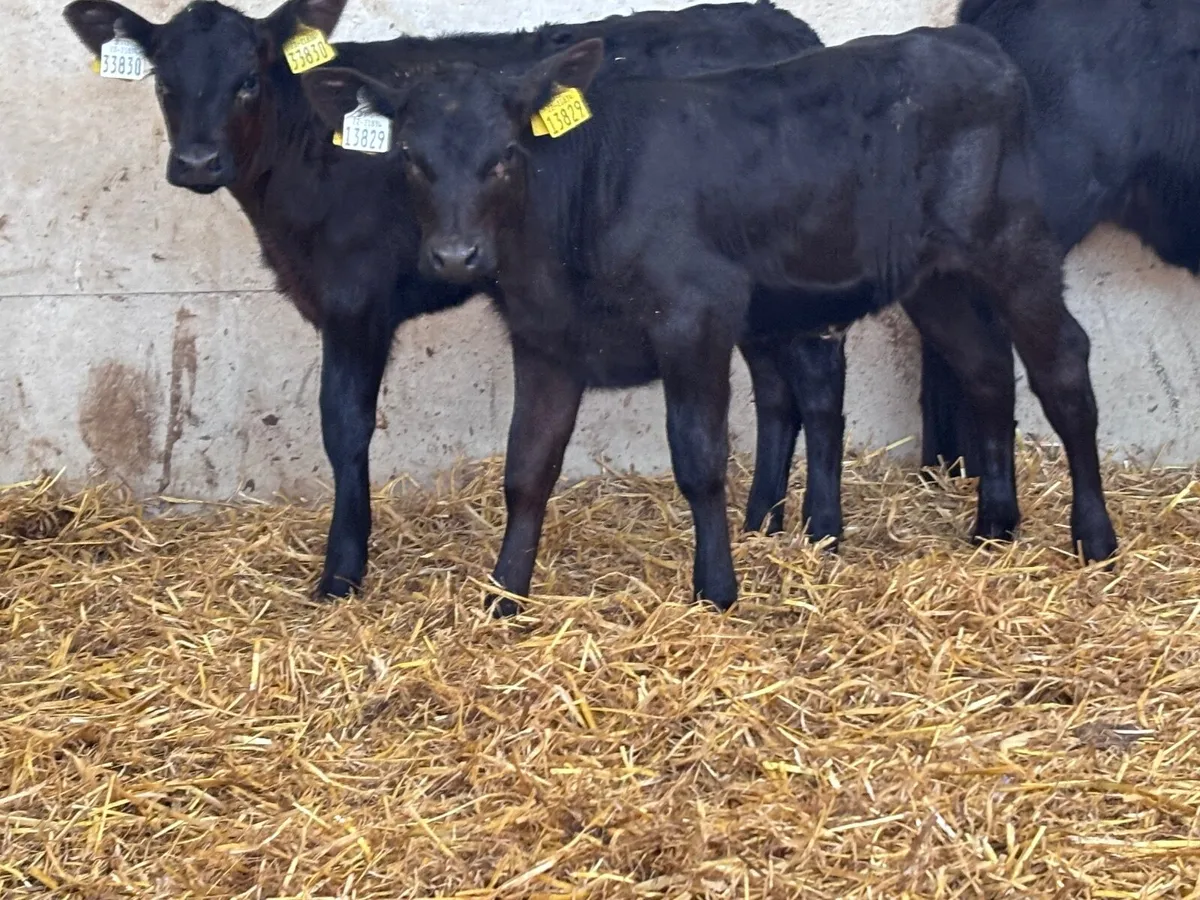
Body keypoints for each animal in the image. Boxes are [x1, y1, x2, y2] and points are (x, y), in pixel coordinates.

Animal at [63, 0, 847, 606]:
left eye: (248, 80)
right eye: (164, 82)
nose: (196, 163)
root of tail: (782, 23)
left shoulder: (356, 300)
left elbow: (344, 427)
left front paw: (342, 571)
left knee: (816, 385)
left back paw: (824, 532)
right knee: (777, 389)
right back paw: (763, 522)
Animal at [301, 26, 1121, 614]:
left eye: (505, 153)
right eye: (410, 157)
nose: (455, 255)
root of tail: (971, 44)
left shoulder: (694, 319)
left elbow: (698, 459)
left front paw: (716, 590)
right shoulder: (545, 340)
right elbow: (526, 468)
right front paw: (504, 594)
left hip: (1014, 245)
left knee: (1063, 366)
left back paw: (1096, 537)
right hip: (936, 278)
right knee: (986, 369)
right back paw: (994, 525)